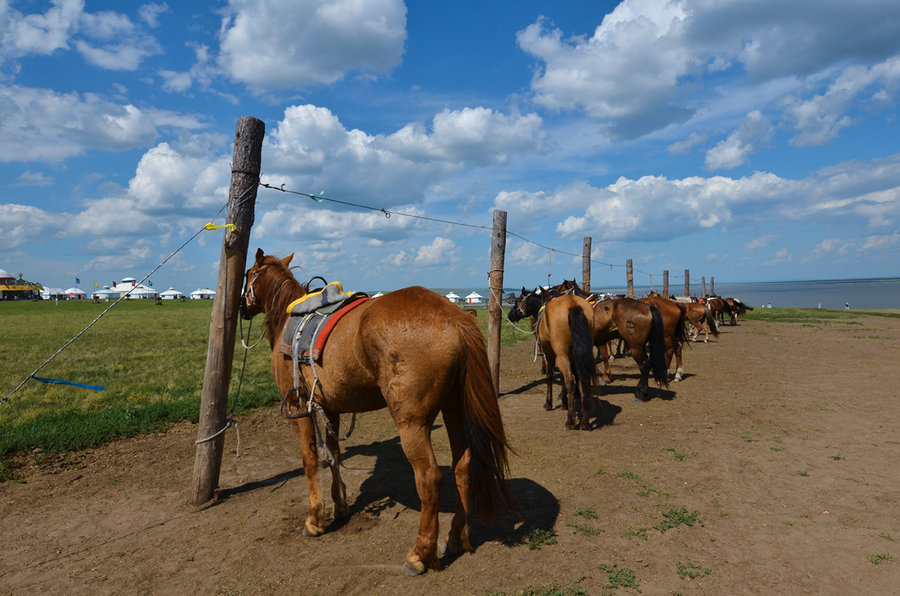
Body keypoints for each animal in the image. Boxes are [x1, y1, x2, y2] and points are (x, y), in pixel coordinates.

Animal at [241, 249, 512, 576]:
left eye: (248, 275)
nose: (242, 306)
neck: (288, 318)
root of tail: (455, 318)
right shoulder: (330, 407)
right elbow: (333, 456)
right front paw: (340, 506)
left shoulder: (297, 405)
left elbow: (310, 460)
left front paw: (315, 520)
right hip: (454, 408)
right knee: (463, 467)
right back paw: (457, 537)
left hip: (412, 422)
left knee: (429, 478)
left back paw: (419, 554)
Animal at [506, 288, 596, 428]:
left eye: (519, 300)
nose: (510, 315)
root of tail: (573, 305)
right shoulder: (572, 356)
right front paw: (565, 402)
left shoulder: (548, 354)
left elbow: (550, 377)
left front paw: (549, 403)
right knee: (582, 380)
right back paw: (585, 421)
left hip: (561, 355)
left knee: (570, 380)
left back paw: (570, 421)